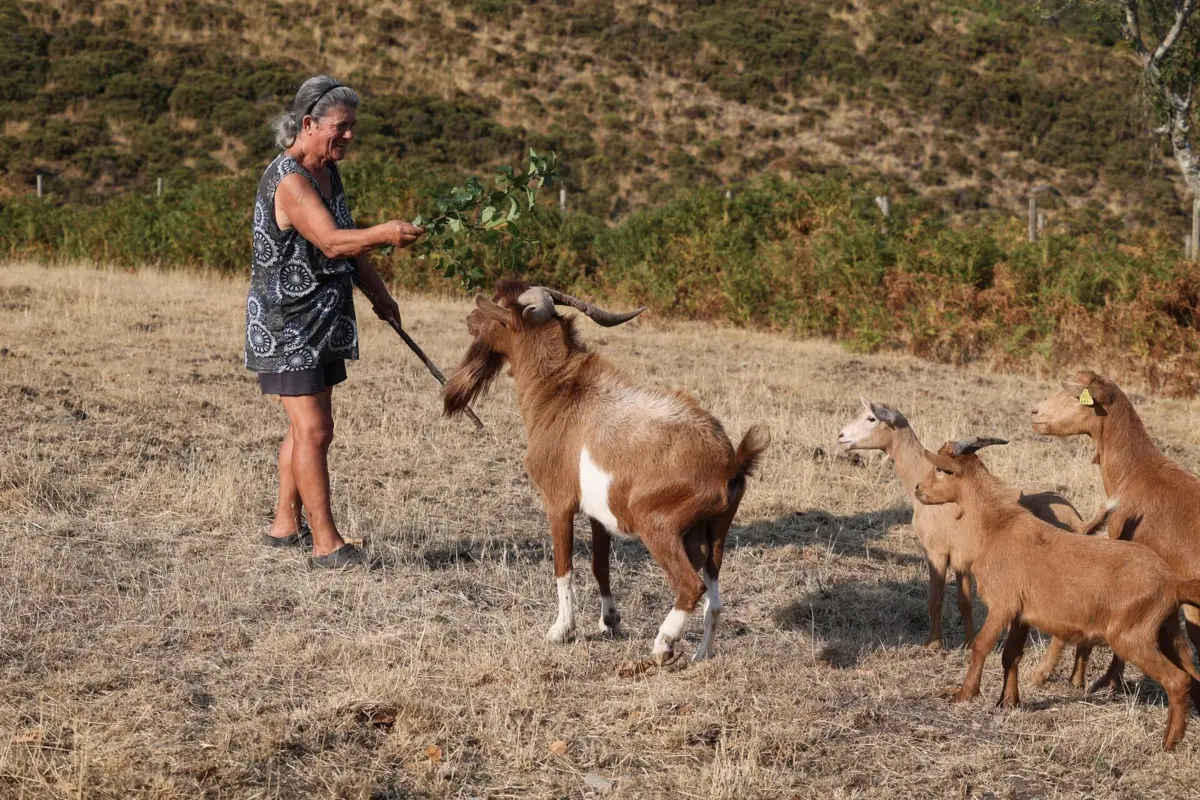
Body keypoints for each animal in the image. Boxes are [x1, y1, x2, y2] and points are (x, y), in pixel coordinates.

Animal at [443, 281, 770, 667]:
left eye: (497, 309)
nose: (469, 318)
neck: (560, 392)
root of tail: (729, 462)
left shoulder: (557, 501)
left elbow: (563, 565)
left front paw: (560, 630)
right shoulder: (598, 514)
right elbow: (600, 564)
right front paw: (610, 622)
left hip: (658, 525)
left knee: (691, 585)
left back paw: (663, 645)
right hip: (712, 532)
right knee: (715, 597)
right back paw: (700, 654)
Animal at [838, 400, 1093, 687]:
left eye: (871, 418)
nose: (842, 436)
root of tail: (1078, 521)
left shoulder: (937, 553)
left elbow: (935, 597)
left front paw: (933, 644)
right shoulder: (961, 561)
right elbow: (965, 602)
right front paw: (968, 641)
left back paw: (1042, 674)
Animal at [914, 437, 1200, 751]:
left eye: (941, 470)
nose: (918, 489)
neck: (998, 525)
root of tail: (1172, 582)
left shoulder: (1002, 606)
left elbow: (981, 646)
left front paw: (964, 694)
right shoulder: (1021, 614)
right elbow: (1011, 655)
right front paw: (1008, 702)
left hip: (1132, 637)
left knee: (1177, 680)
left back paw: (1169, 742)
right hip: (1167, 632)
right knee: (1191, 672)